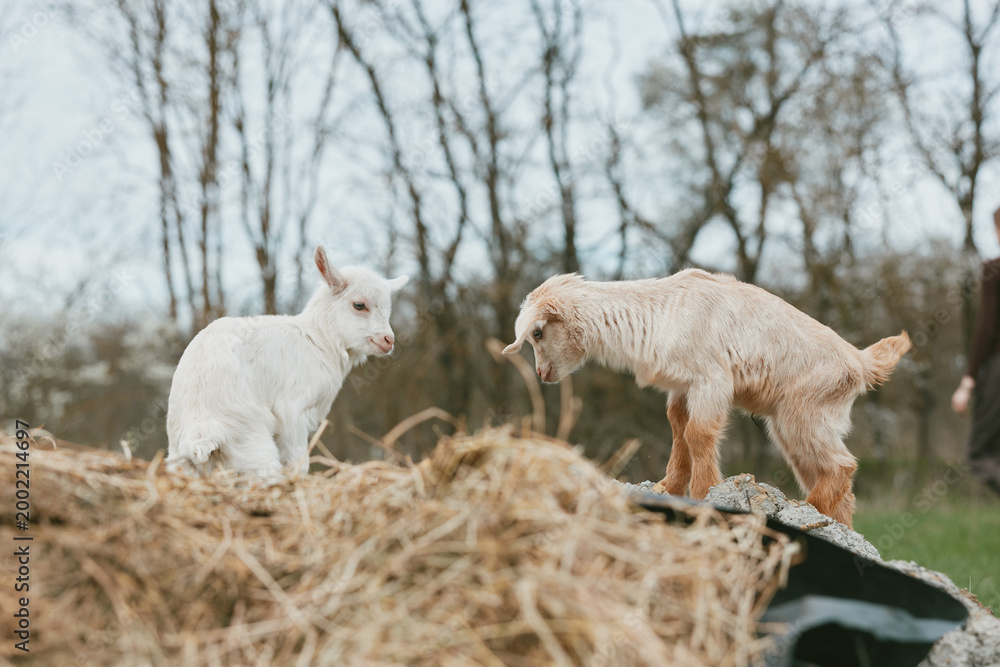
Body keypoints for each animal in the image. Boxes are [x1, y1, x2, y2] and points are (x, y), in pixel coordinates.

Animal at [166, 246, 408, 477]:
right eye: (359, 305)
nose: (388, 340)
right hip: (251, 444)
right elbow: (298, 463)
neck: (319, 339)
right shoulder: (293, 412)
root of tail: (200, 434)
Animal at [503, 270, 911, 528]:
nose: (542, 374)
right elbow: (678, 430)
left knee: (842, 465)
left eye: (537, 332)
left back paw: (804, 511)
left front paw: (704, 492)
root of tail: (861, 362)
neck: (657, 314)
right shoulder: (681, 387)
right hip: (795, 424)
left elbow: (699, 434)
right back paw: (837, 526)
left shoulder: (711, 380)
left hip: (803, 412)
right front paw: (668, 488)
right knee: (836, 480)